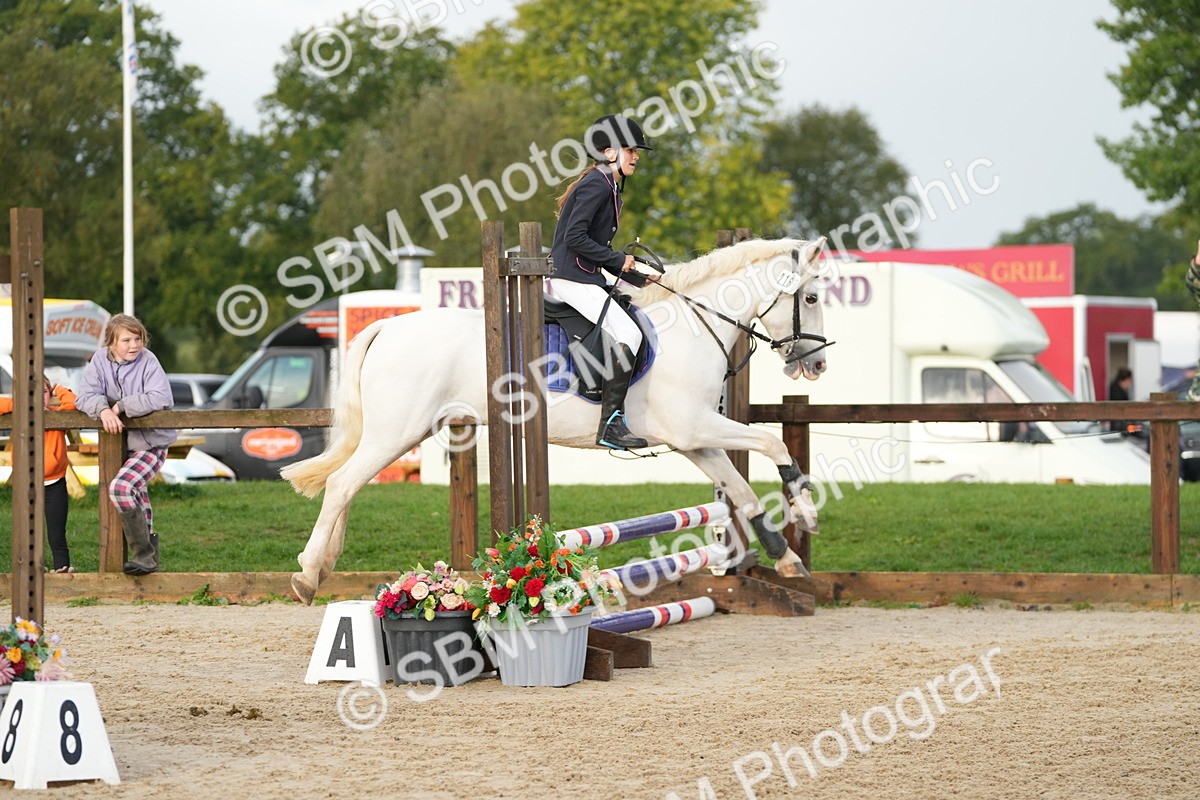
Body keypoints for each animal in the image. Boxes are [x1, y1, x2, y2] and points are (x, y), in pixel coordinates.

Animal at [281, 237, 831, 604]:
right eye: (810, 298)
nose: (818, 364)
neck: (696, 325)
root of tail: (388, 327)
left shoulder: (694, 440)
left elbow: (740, 492)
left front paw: (786, 557)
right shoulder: (695, 428)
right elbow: (773, 445)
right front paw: (806, 509)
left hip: (396, 433)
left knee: (346, 484)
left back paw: (322, 565)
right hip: (396, 433)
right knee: (342, 484)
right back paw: (307, 575)